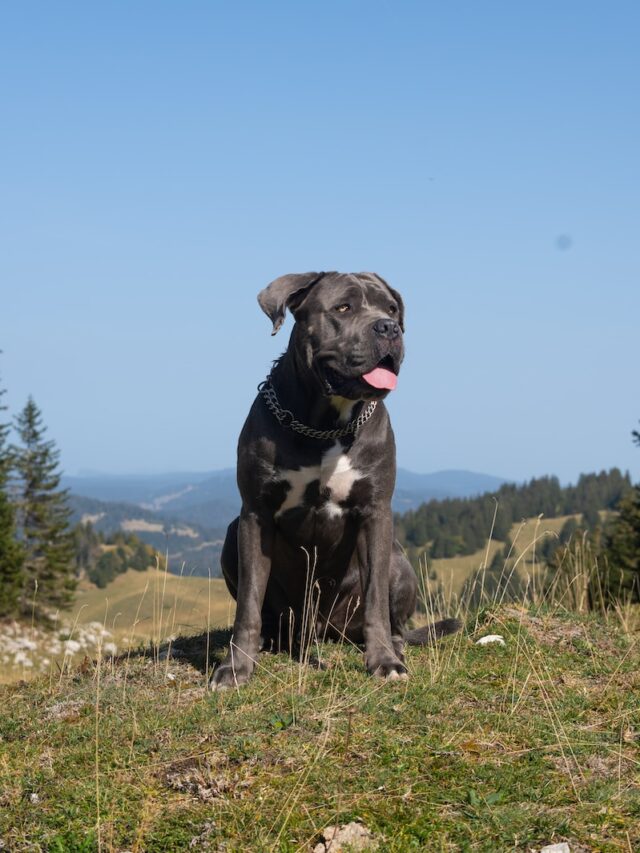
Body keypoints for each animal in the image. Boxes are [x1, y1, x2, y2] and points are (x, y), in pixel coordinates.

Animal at [211, 272, 460, 692]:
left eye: (392, 309)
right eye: (344, 308)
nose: (389, 328)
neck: (324, 424)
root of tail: (321, 631)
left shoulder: (375, 512)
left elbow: (376, 600)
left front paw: (383, 662)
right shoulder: (254, 514)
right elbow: (248, 604)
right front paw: (236, 667)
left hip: (398, 561)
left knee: (393, 620)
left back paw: (395, 645)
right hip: (233, 538)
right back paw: (271, 642)